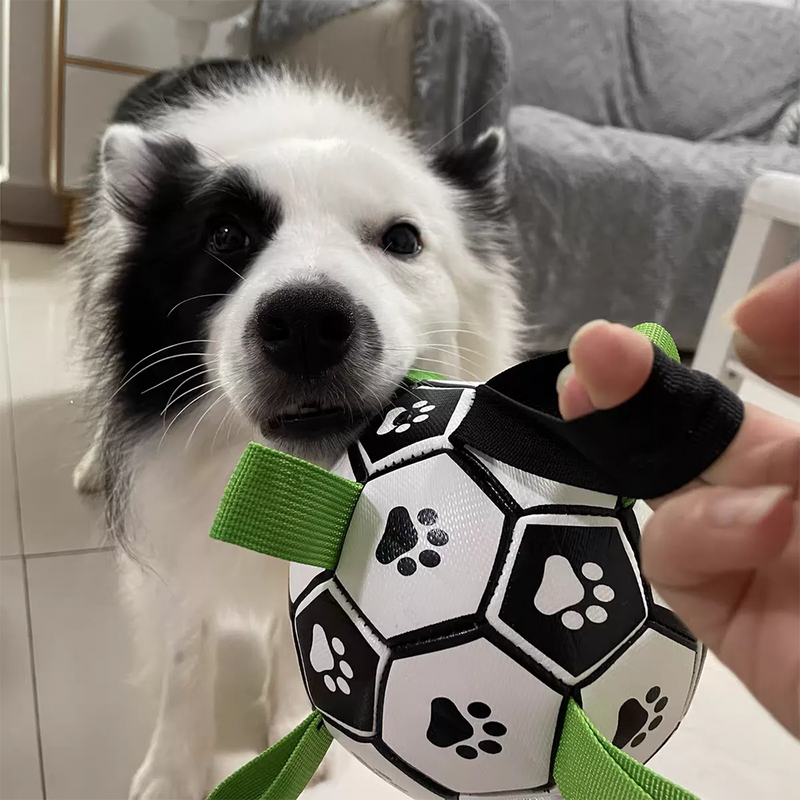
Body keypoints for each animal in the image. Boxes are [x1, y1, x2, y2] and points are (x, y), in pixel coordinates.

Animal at [70, 59, 524, 796]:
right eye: (226, 236)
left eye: (403, 239)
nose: (308, 324)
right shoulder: (166, 510)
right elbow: (185, 648)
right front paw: (173, 768)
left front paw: (293, 721)